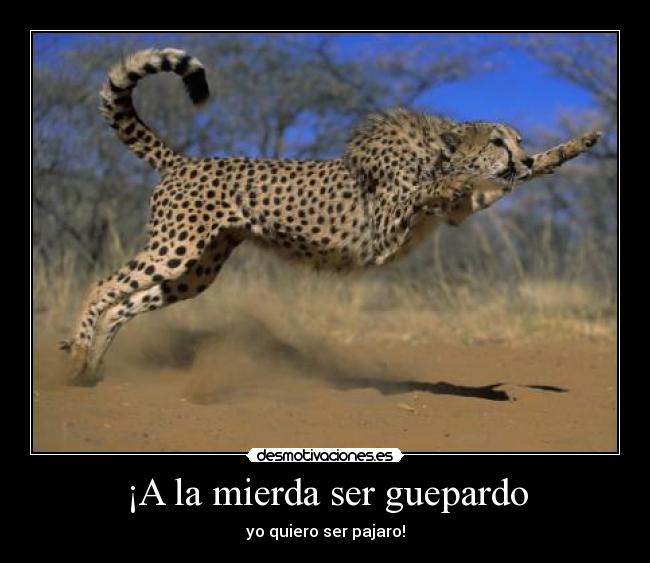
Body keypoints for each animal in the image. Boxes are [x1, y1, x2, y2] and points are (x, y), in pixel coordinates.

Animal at [59, 47, 599, 385]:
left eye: (519, 141)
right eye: (496, 141)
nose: (519, 158)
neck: (436, 153)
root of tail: (183, 159)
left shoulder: (460, 212)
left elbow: (500, 183)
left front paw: (574, 146)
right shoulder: (386, 223)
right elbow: (441, 187)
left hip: (197, 269)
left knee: (126, 303)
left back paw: (94, 368)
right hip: (176, 247)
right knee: (102, 285)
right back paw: (78, 356)